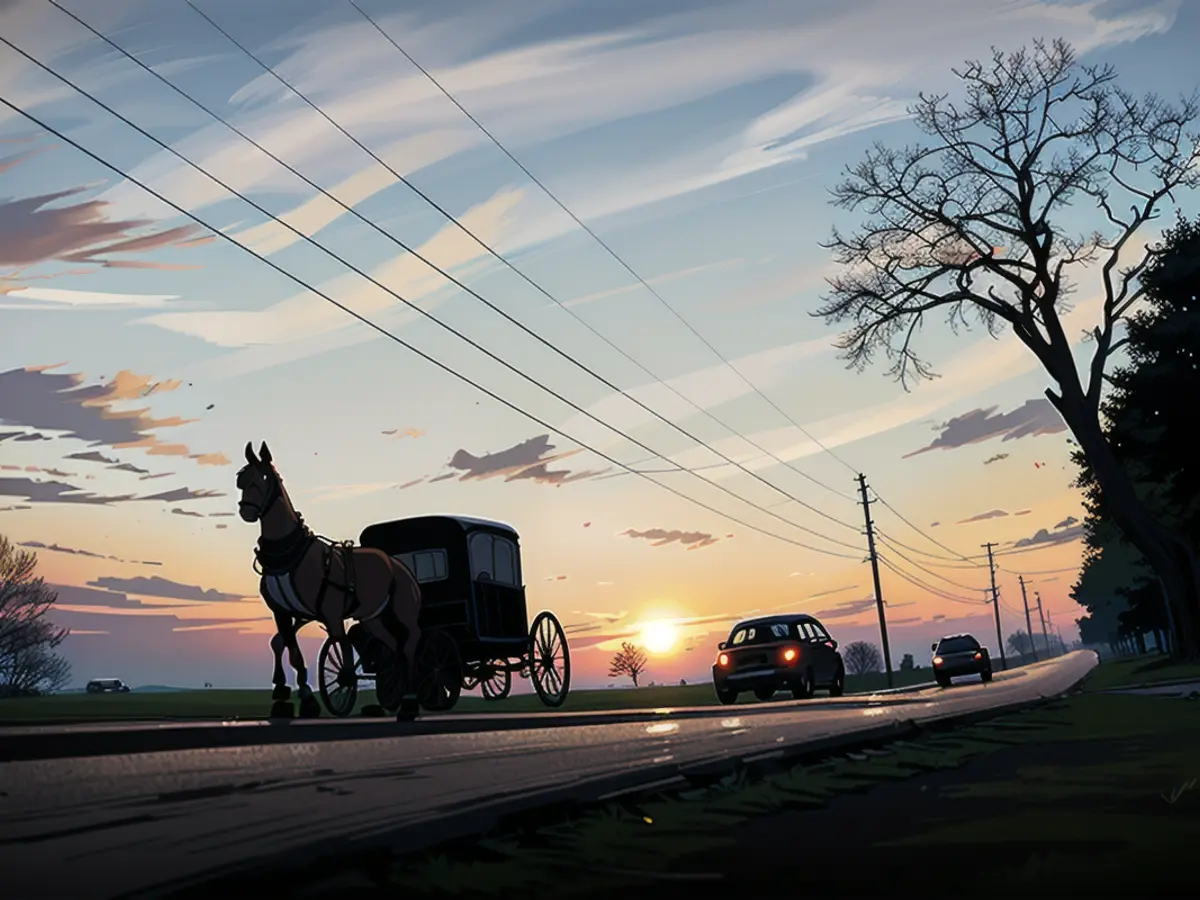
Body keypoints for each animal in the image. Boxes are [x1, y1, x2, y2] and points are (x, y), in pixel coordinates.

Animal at [236, 441, 424, 724]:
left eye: (266, 477)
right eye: (242, 479)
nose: (246, 511)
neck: (290, 554)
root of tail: (398, 564)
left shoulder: (330, 613)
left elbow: (340, 649)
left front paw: (332, 692)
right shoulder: (286, 611)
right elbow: (285, 646)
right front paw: (288, 692)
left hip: (404, 614)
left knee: (410, 643)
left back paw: (410, 702)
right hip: (372, 618)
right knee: (393, 646)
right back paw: (399, 693)